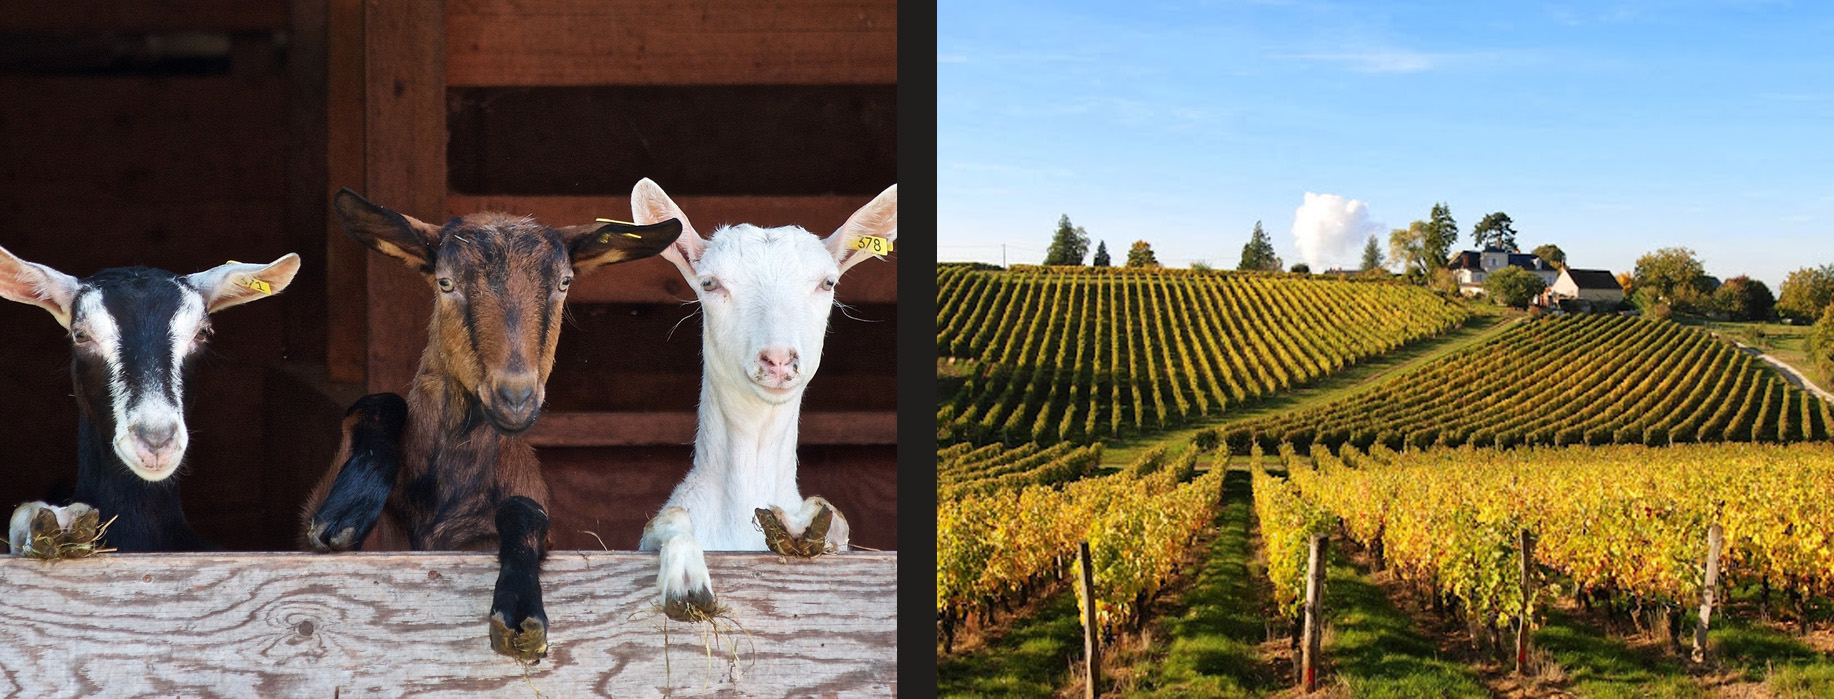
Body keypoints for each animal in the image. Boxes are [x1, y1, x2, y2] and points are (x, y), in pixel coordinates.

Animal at [304, 188, 685, 660]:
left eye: (564, 283)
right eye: (445, 282)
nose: (515, 398)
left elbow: (525, 510)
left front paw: (520, 609)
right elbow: (378, 403)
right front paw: (346, 511)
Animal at [634, 175, 898, 616]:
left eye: (828, 282)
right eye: (709, 283)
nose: (778, 359)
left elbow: (836, 520)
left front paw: (800, 523)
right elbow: (668, 518)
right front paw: (687, 581)